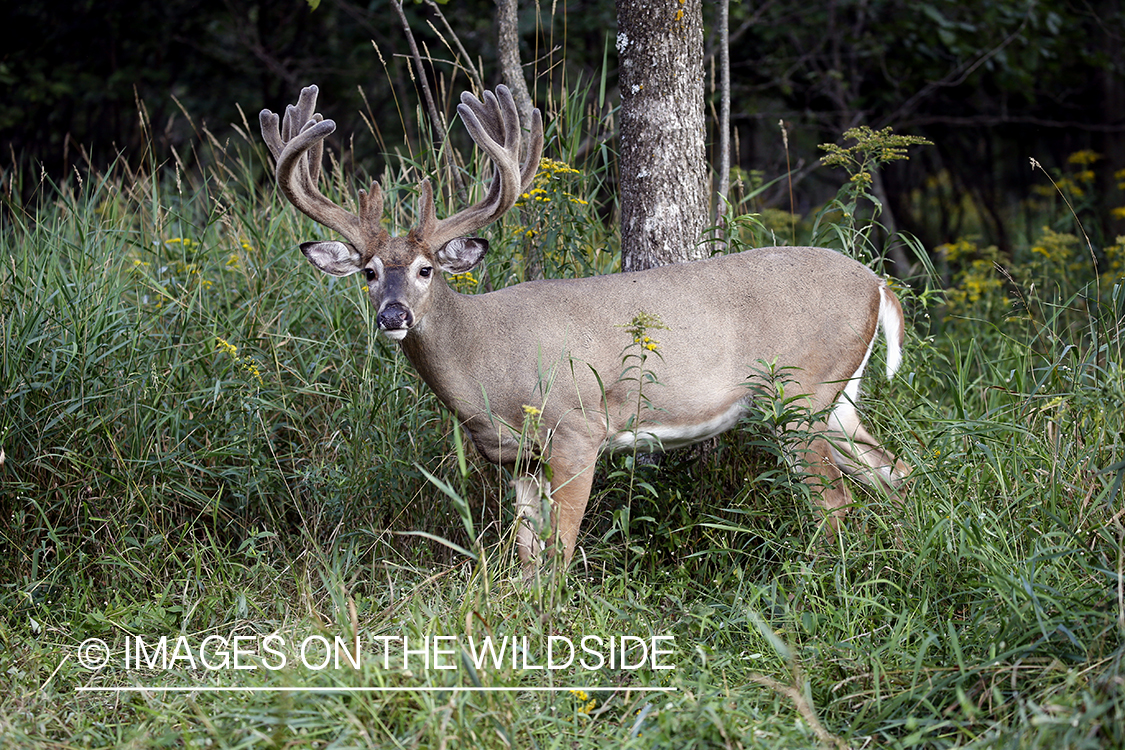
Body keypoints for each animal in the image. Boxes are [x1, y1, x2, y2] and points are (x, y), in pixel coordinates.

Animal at [263, 84, 913, 568]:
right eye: (369, 272)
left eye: (426, 269)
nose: (393, 315)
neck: (486, 366)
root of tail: (877, 284)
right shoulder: (518, 459)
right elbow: (526, 554)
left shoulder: (576, 430)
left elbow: (560, 548)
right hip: (837, 399)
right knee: (896, 470)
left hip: (799, 394)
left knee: (835, 500)